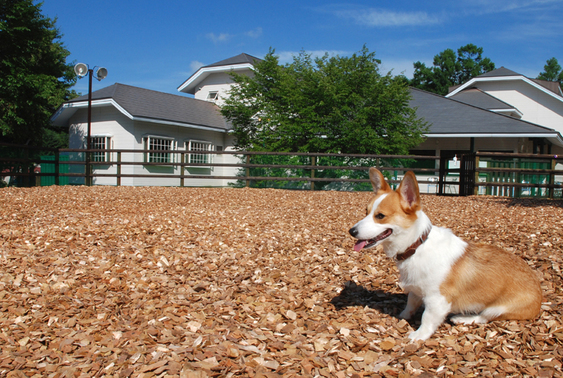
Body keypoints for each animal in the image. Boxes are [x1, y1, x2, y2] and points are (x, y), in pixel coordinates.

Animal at [348, 168, 540, 340]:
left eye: (380, 216)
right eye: (366, 212)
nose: (351, 231)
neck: (417, 246)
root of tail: (540, 298)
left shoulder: (437, 301)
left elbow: (427, 318)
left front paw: (418, 336)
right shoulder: (416, 290)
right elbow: (411, 304)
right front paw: (403, 316)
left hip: (497, 309)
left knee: (483, 317)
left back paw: (463, 319)